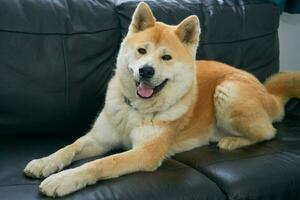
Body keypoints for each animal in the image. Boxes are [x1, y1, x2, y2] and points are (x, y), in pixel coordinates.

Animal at [24, 2, 300, 198]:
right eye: (142, 51)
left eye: (166, 57)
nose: (146, 70)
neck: (135, 110)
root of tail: (268, 93)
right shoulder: (98, 139)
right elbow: (69, 147)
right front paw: (45, 162)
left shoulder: (144, 153)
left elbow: (101, 163)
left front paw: (63, 180)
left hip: (228, 90)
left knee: (268, 132)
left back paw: (231, 141)